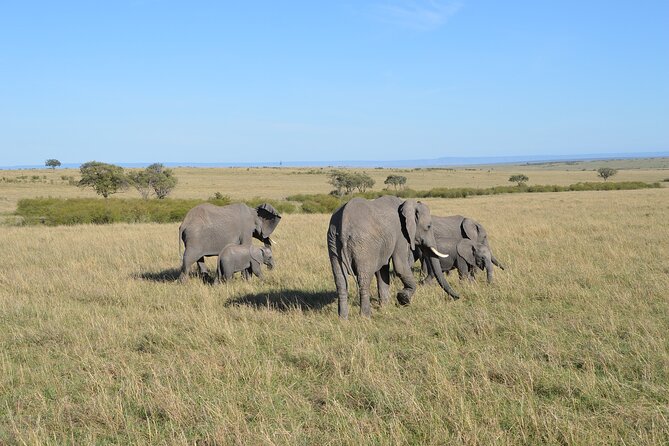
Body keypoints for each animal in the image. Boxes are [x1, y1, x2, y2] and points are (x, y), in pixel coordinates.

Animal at [328, 197, 460, 318]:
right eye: (428, 226)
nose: (458, 297)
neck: (406, 204)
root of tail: (344, 224)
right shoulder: (400, 233)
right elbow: (400, 267)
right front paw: (403, 299)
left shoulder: (385, 242)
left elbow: (383, 270)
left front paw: (385, 306)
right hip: (363, 245)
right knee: (363, 280)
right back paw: (365, 317)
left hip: (333, 242)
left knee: (340, 281)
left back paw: (342, 319)